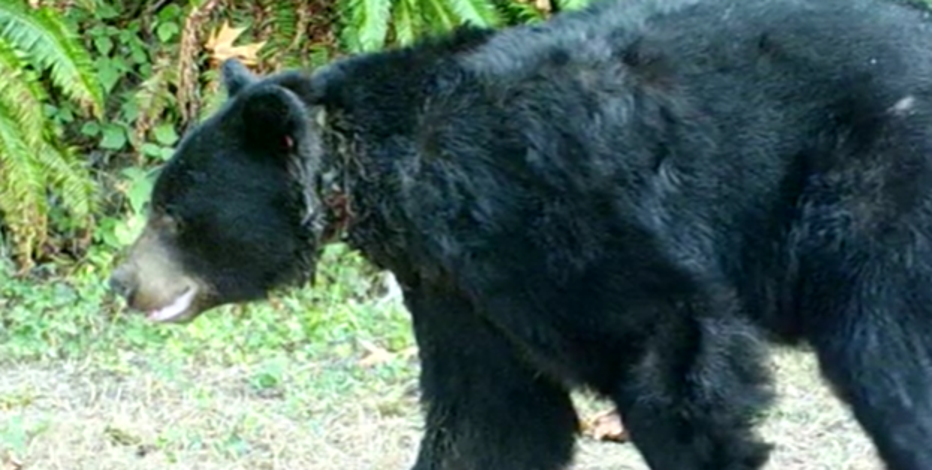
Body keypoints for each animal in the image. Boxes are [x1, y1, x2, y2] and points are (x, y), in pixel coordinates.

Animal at [108, 0, 932, 468]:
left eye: (172, 211)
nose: (121, 281)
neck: (389, 170)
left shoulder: (543, 210)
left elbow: (666, 350)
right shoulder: (453, 281)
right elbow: (489, 414)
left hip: (878, 199)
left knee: (888, 358)